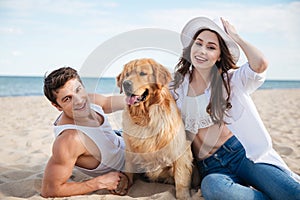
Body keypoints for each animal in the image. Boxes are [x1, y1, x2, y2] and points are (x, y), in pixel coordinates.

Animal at [116, 58, 193, 200]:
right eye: (126, 74)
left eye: (142, 73)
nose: (125, 83)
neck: (145, 116)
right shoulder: (130, 150)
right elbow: (128, 168)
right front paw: (123, 183)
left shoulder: (180, 148)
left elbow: (181, 176)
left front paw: (183, 195)